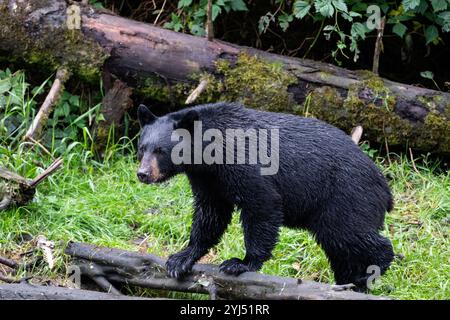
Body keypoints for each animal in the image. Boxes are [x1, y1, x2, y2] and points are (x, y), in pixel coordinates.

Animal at [137, 101, 394, 288]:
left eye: (161, 150)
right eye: (142, 148)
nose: (142, 174)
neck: (211, 153)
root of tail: (384, 187)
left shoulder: (244, 165)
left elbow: (261, 204)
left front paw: (241, 263)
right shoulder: (208, 179)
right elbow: (210, 214)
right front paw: (181, 258)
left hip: (346, 197)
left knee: (353, 235)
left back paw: (373, 270)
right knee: (341, 249)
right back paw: (349, 282)